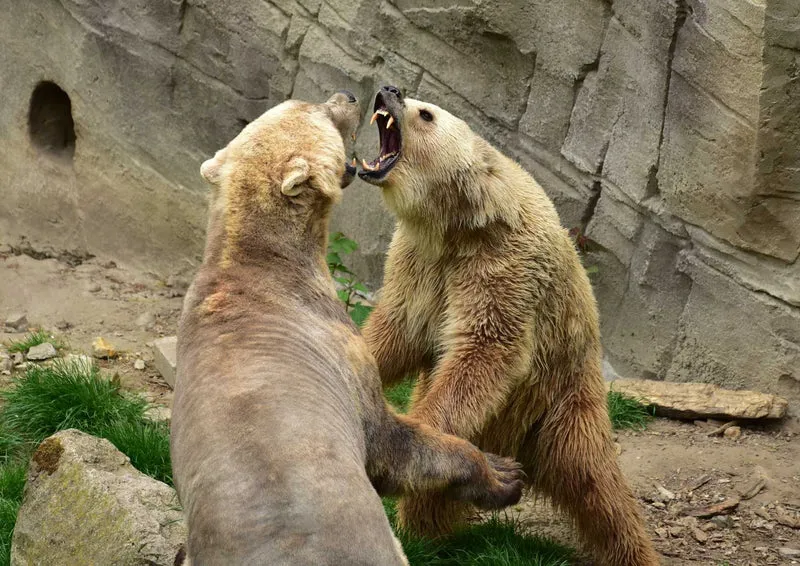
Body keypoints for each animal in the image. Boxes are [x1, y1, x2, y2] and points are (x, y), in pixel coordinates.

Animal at [169, 91, 526, 566]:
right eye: (317, 109)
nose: (350, 96)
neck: (256, 265)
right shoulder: (337, 350)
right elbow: (390, 445)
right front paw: (503, 472)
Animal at [357, 85, 660, 566]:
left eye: (426, 113)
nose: (389, 89)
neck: (457, 224)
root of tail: (521, 446)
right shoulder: (419, 264)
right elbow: (397, 330)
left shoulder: (502, 268)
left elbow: (486, 349)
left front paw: (419, 424)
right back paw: (427, 533)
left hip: (562, 400)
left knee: (597, 486)